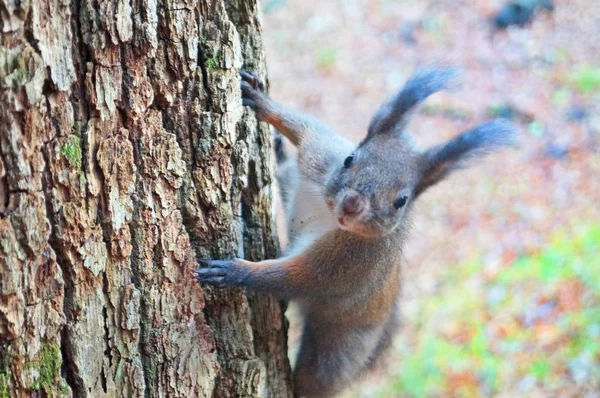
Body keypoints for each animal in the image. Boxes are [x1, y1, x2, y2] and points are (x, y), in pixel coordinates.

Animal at [196, 69, 516, 398]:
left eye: (401, 200)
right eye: (350, 159)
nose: (352, 203)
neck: (331, 217)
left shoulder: (349, 261)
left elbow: (295, 277)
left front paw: (234, 272)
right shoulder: (322, 155)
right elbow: (307, 129)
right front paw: (263, 103)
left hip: (340, 350)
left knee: (316, 381)